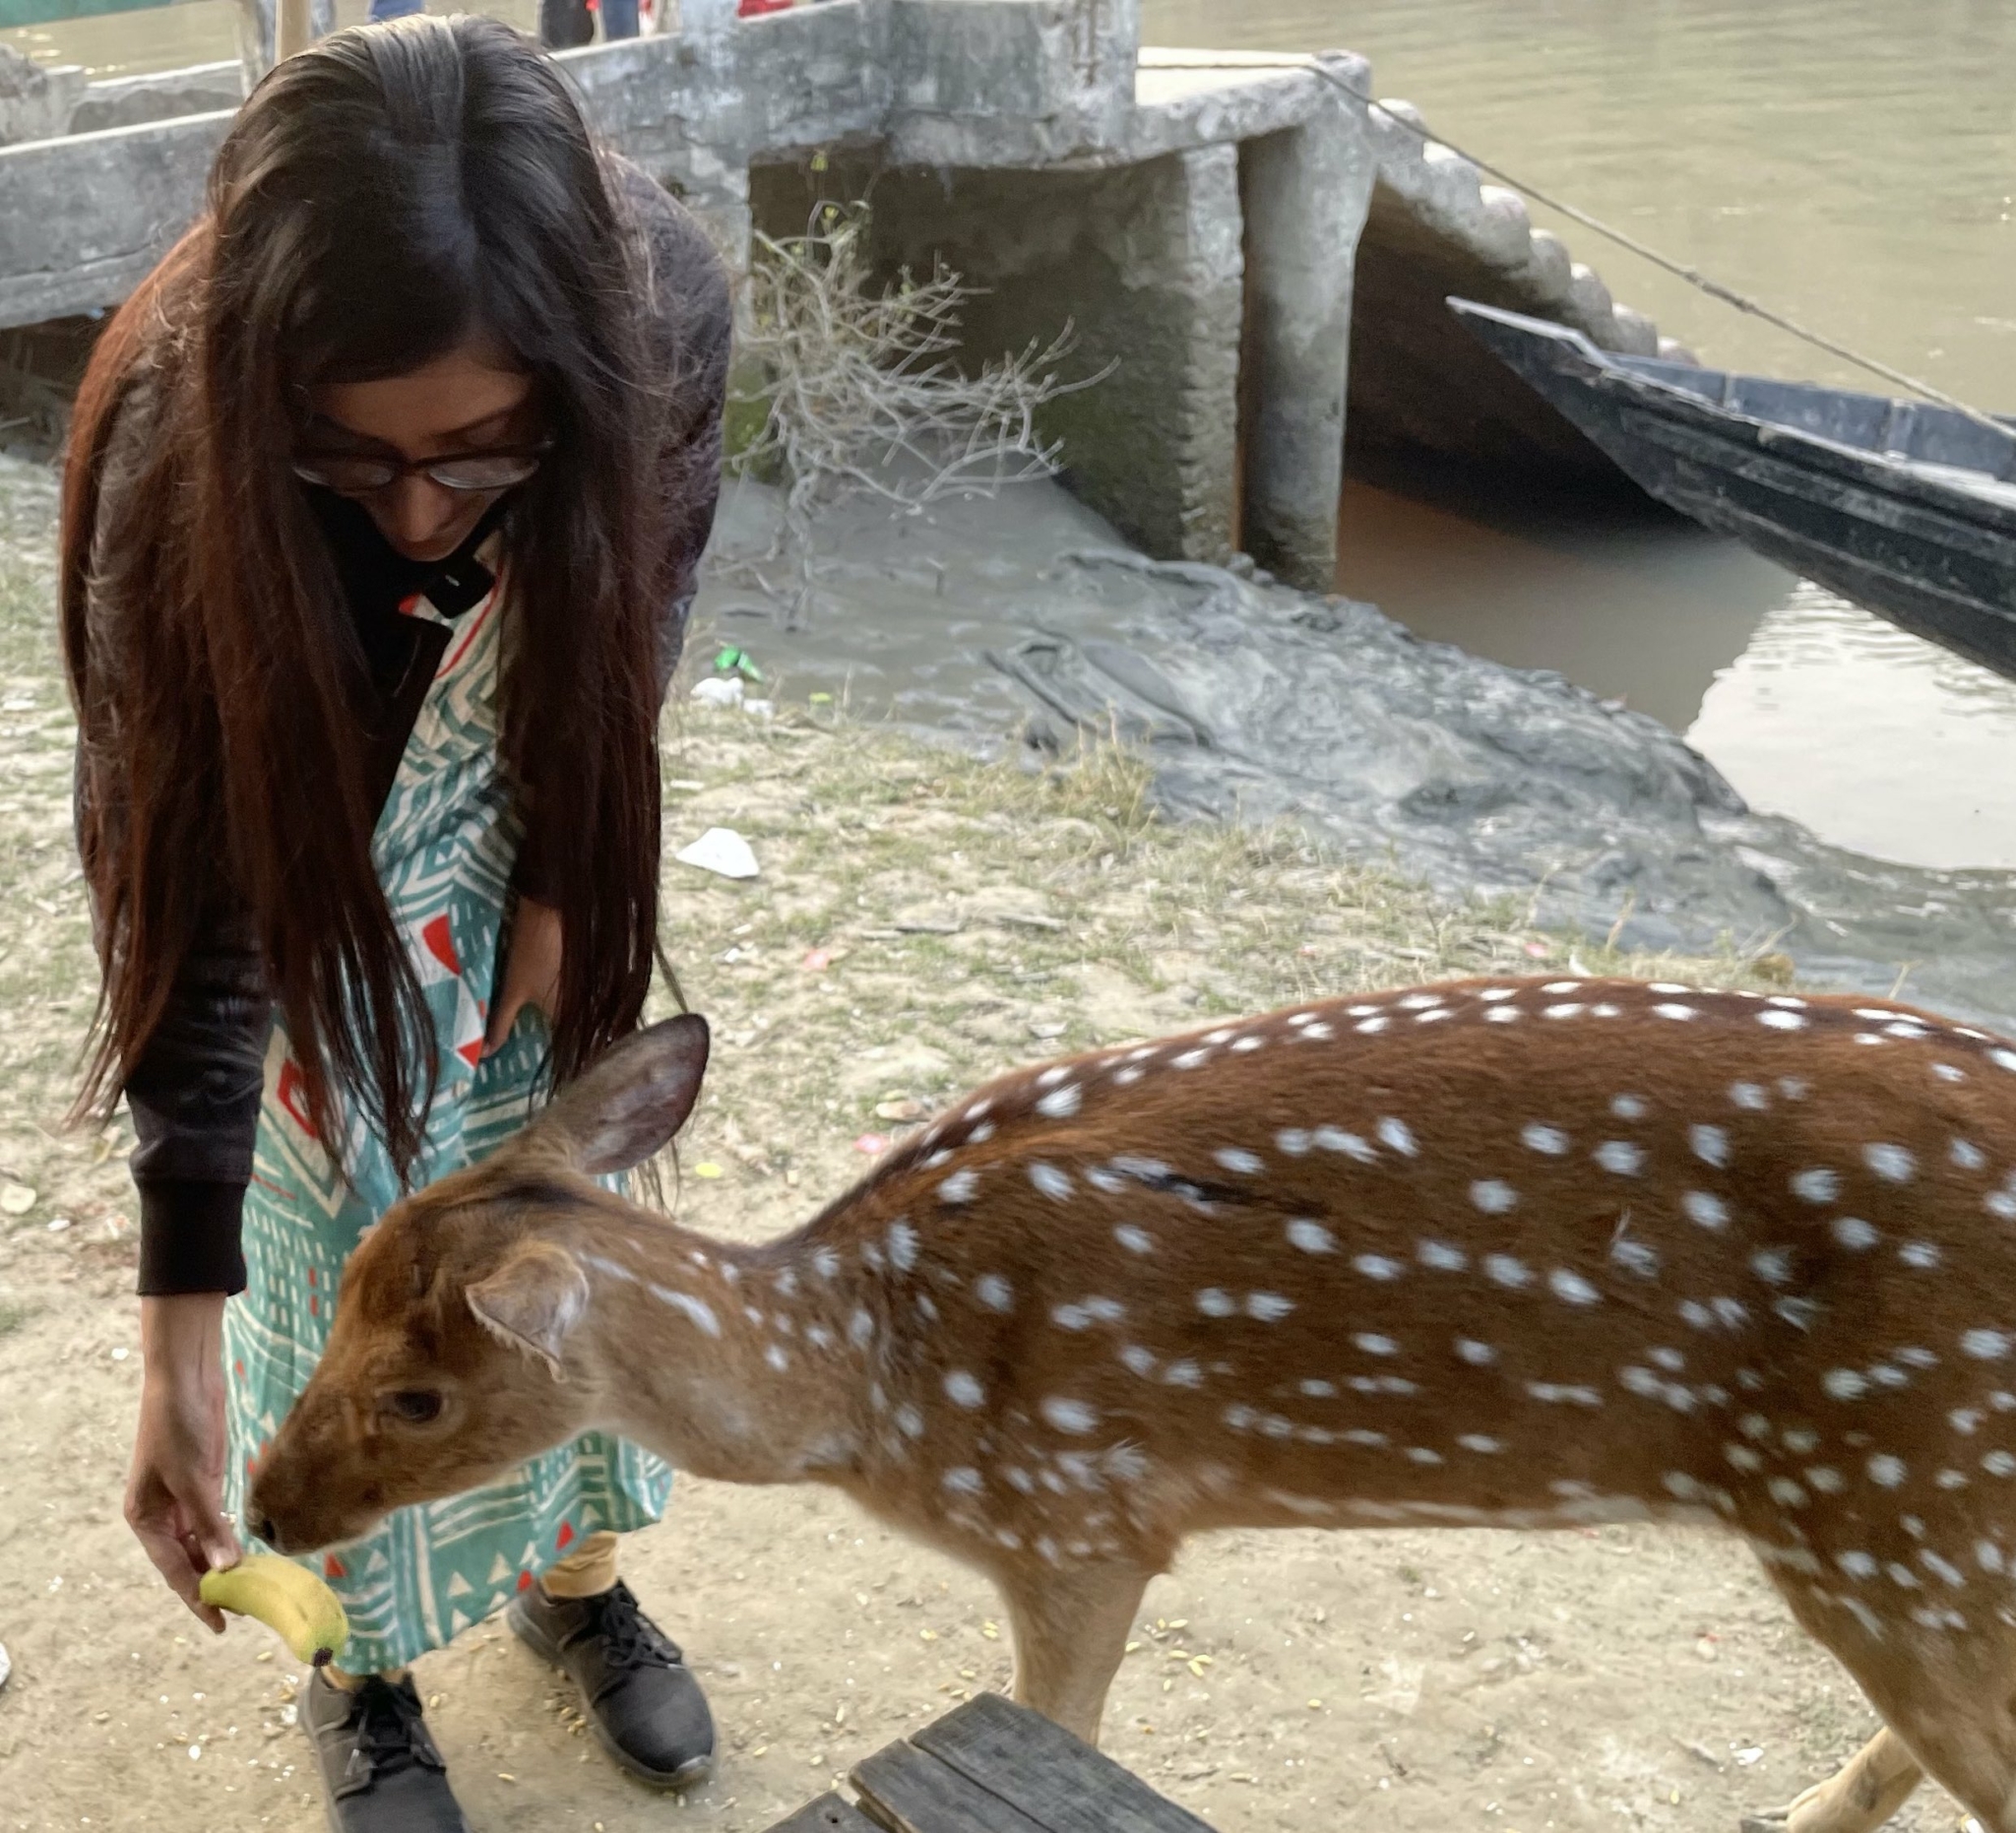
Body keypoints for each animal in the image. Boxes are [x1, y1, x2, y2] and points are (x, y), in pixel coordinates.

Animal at [246, 973, 2016, 1833]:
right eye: (335, 1296)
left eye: (417, 1393)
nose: (264, 1504)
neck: (872, 1377)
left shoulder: (1080, 1520)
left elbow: (1062, 1726)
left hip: (1897, 1492)